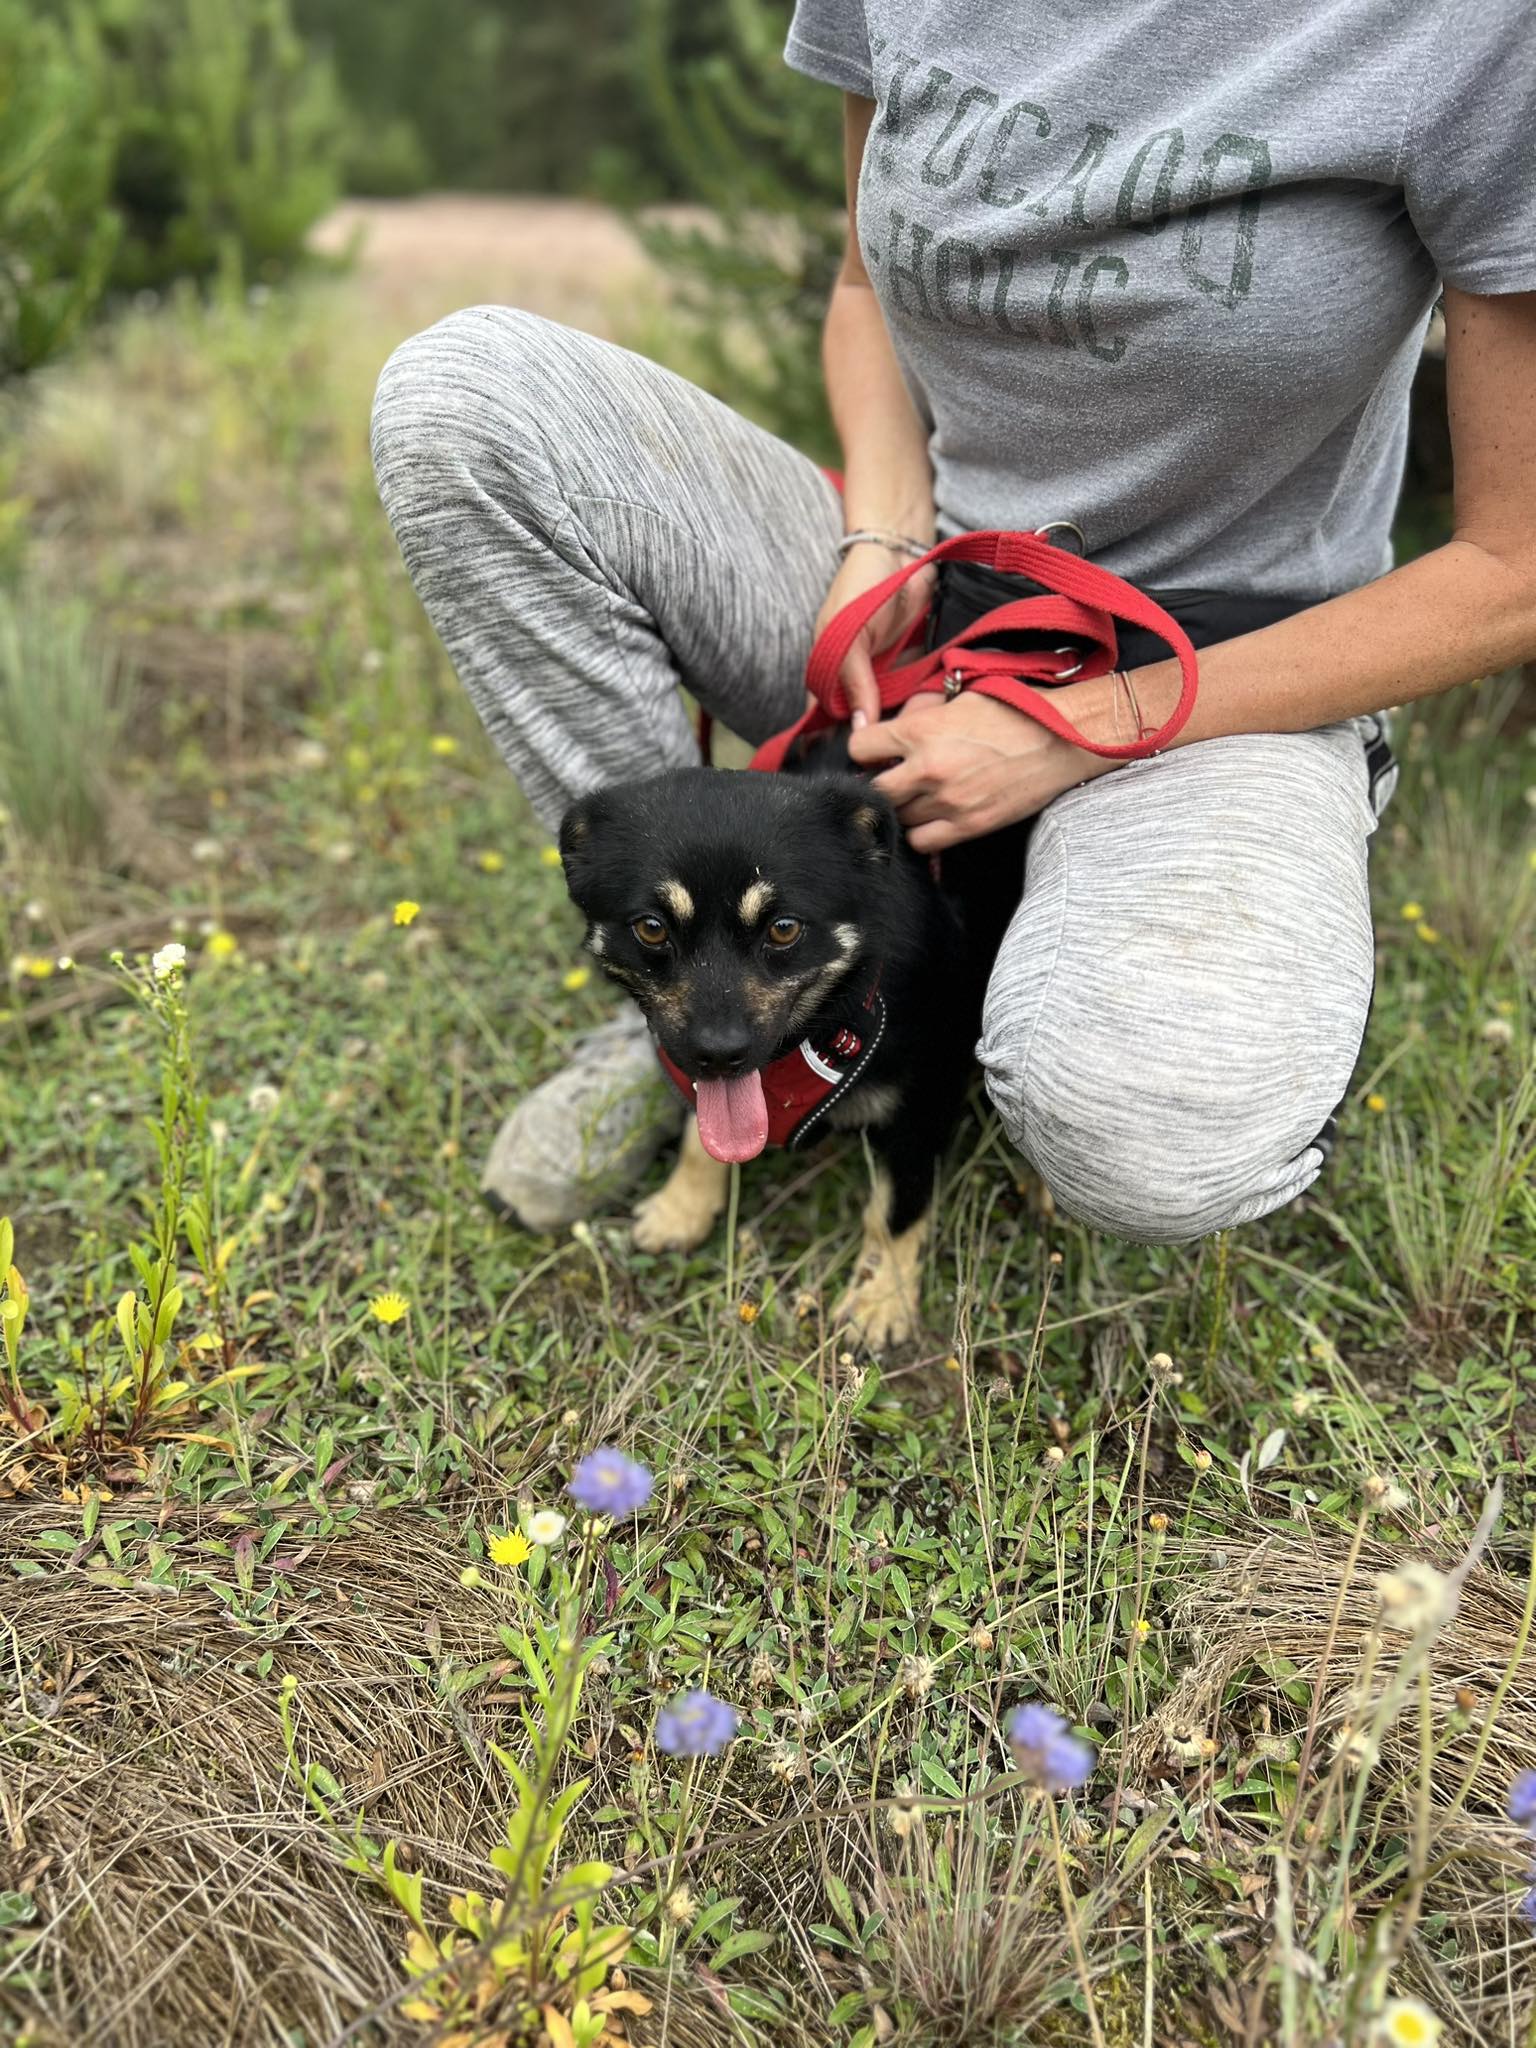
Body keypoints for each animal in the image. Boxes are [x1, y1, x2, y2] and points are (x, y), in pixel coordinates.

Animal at [558, 749, 1026, 1346]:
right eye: (651, 928)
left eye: (783, 928)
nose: (719, 1053)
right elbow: (697, 1137)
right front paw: (681, 1208)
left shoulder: (923, 1102)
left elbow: (896, 1208)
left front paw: (881, 1300)